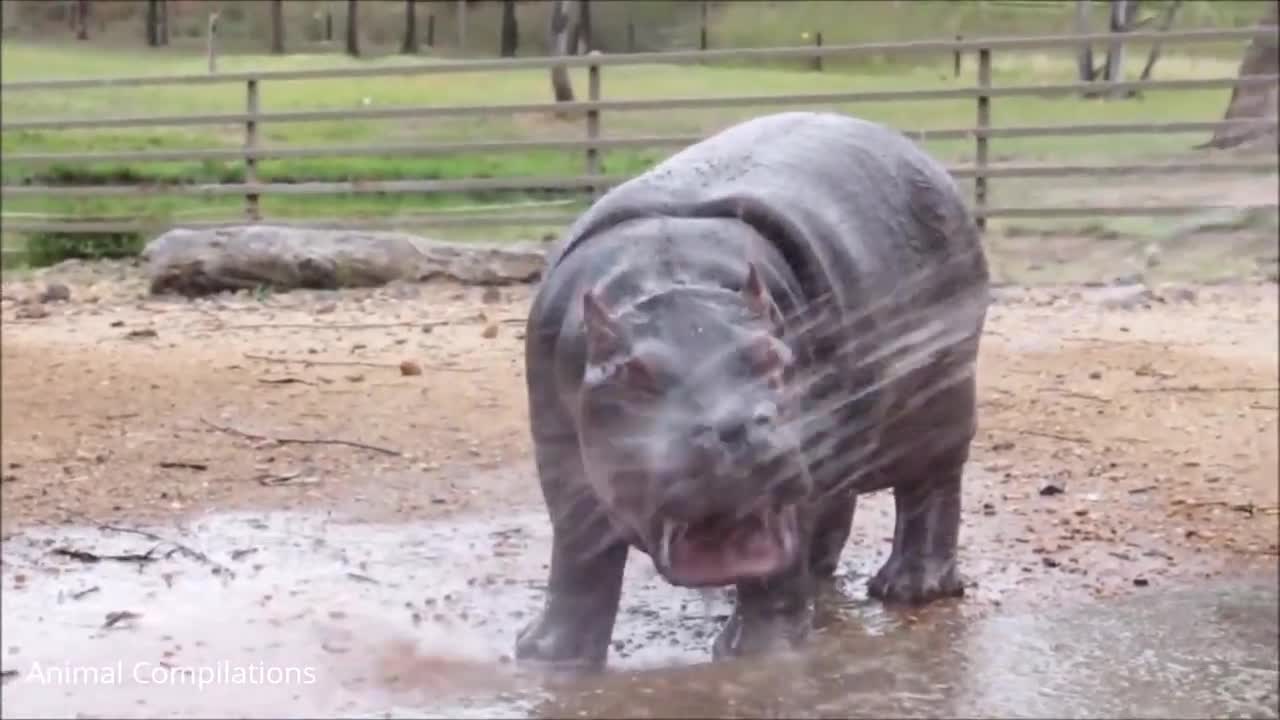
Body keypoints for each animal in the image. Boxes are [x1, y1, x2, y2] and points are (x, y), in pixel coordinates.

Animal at [512, 110, 988, 666]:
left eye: (775, 357)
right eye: (635, 374)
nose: (737, 426)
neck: (673, 279)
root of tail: (920, 156)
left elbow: (778, 564)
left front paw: (758, 655)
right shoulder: (559, 458)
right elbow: (578, 555)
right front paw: (544, 656)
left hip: (946, 398)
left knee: (931, 487)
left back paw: (909, 589)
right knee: (839, 501)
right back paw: (817, 578)